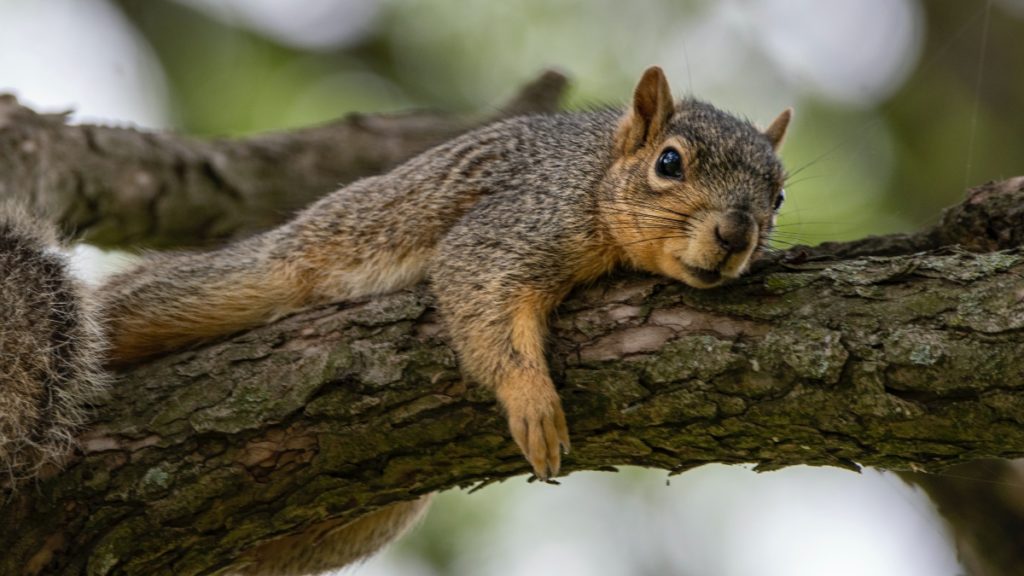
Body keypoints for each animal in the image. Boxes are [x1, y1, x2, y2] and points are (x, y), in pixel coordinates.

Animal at [1, 66, 790, 574]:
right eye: (669, 163)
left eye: (778, 197)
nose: (735, 235)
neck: (597, 174)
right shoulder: (516, 222)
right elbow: (481, 289)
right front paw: (531, 401)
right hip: (254, 276)